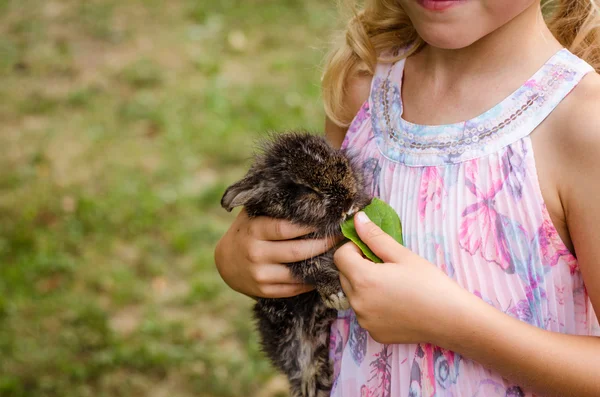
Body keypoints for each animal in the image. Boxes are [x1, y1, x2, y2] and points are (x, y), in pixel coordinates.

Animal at [220, 131, 370, 396]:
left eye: (341, 161)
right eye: (305, 189)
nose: (348, 202)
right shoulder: (294, 256)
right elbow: (312, 269)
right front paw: (336, 294)